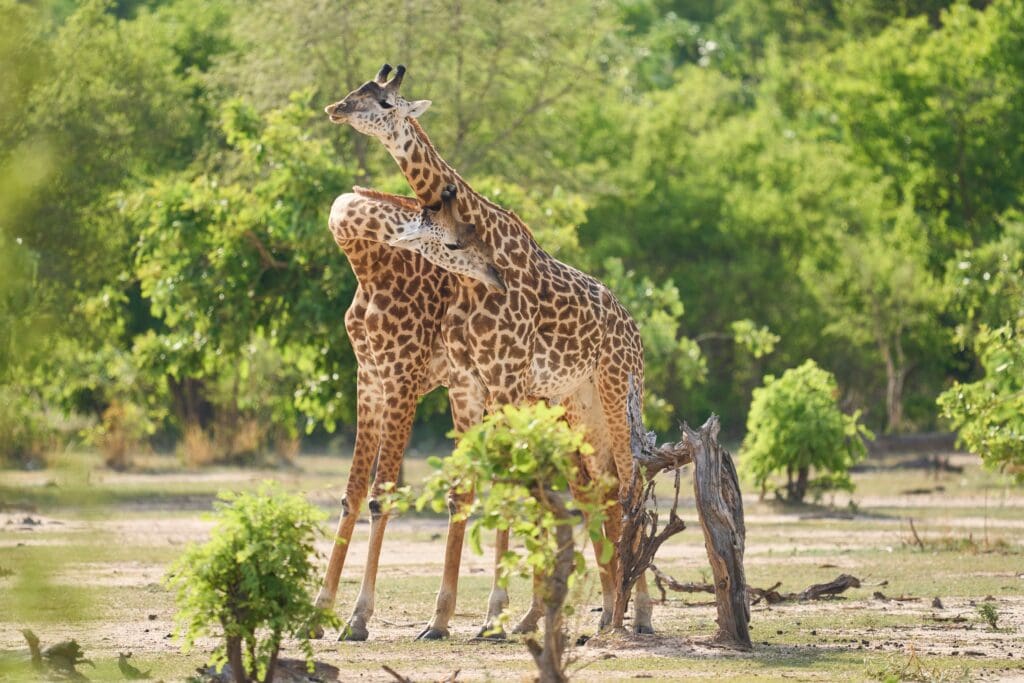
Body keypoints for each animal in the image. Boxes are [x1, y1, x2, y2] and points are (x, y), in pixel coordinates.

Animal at [325, 65, 655, 638]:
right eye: (358, 91)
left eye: (386, 102)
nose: (336, 109)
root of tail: (633, 329)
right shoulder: (415, 379)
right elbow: (365, 492)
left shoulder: (443, 378)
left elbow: (405, 492)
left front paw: (369, 618)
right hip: (575, 406)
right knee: (600, 490)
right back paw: (600, 610)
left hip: (614, 393)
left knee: (628, 484)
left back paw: (630, 614)